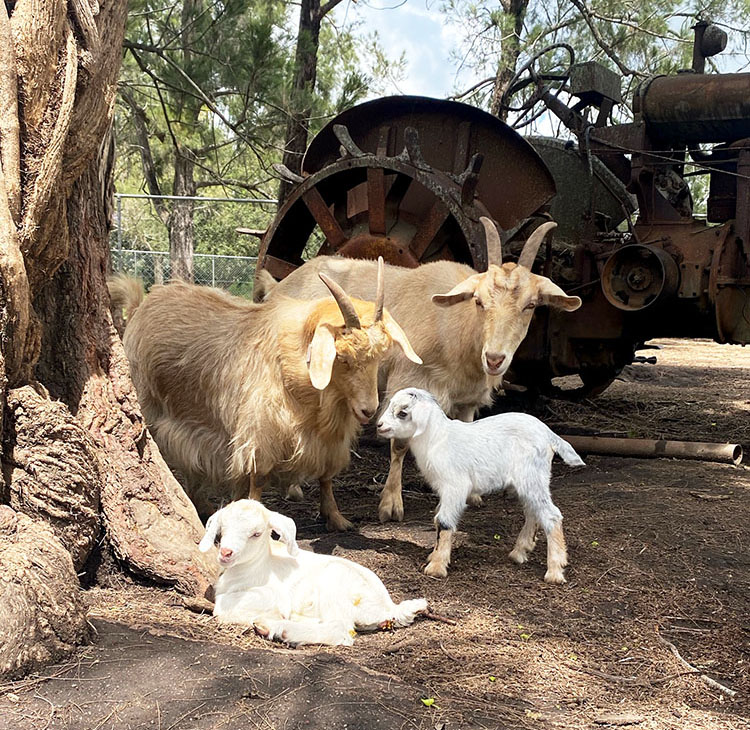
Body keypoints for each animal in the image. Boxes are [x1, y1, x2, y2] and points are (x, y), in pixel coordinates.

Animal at [114, 262, 426, 528]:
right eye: (343, 357)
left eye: (380, 356)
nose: (368, 410)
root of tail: (141, 305)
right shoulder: (260, 431)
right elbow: (258, 478)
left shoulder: (331, 439)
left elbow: (326, 477)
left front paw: (336, 518)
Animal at [201, 498, 428, 644]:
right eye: (222, 528)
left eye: (256, 534)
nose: (226, 552)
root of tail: (389, 606)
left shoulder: (274, 594)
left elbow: (221, 607)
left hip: (336, 581)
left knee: (341, 630)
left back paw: (279, 629)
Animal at [256, 219, 584, 520]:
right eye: (479, 301)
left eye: (531, 305)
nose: (494, 359)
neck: (456, 329)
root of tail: (277, 286)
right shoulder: (409, 379)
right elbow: (400, 444)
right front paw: (390, 505)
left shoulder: (467, 399)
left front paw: (472, 494)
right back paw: (294, 487)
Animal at [378, 390, 584, 584]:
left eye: (403, 412)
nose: (379, 425)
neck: (436, 439)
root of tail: (548, 434)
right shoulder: (443, 490)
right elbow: (437, 521)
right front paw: (434, 555)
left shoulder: (455, 486)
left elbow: (443, 521)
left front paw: (436, 567)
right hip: (528, 482)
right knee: (533, 511)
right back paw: (519, 552)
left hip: (532, 476)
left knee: (551, 515)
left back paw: (555, 571)